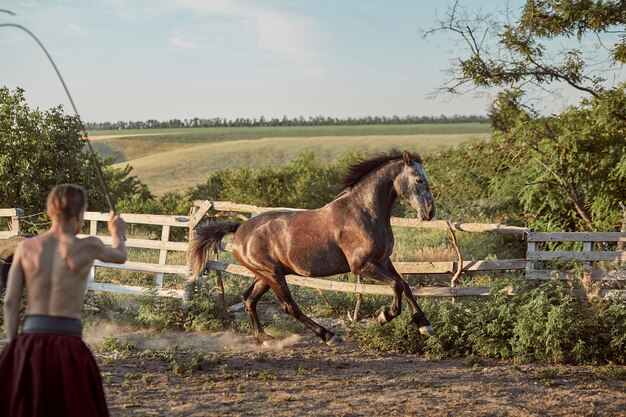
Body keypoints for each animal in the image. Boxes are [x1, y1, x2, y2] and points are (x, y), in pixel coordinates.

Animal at [188, 150, 436, 344]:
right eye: (418, 180)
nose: (430, 212)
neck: (364, 212)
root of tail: (240, 229)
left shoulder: (383, 260)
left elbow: (405, 286)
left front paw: (424, 326)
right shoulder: (361, 266)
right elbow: (396, 285)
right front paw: (385, 316)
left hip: (266, 275)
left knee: (249, 299)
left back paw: (264, 339)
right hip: (273, 275)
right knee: (290, 307)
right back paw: (329, 336)